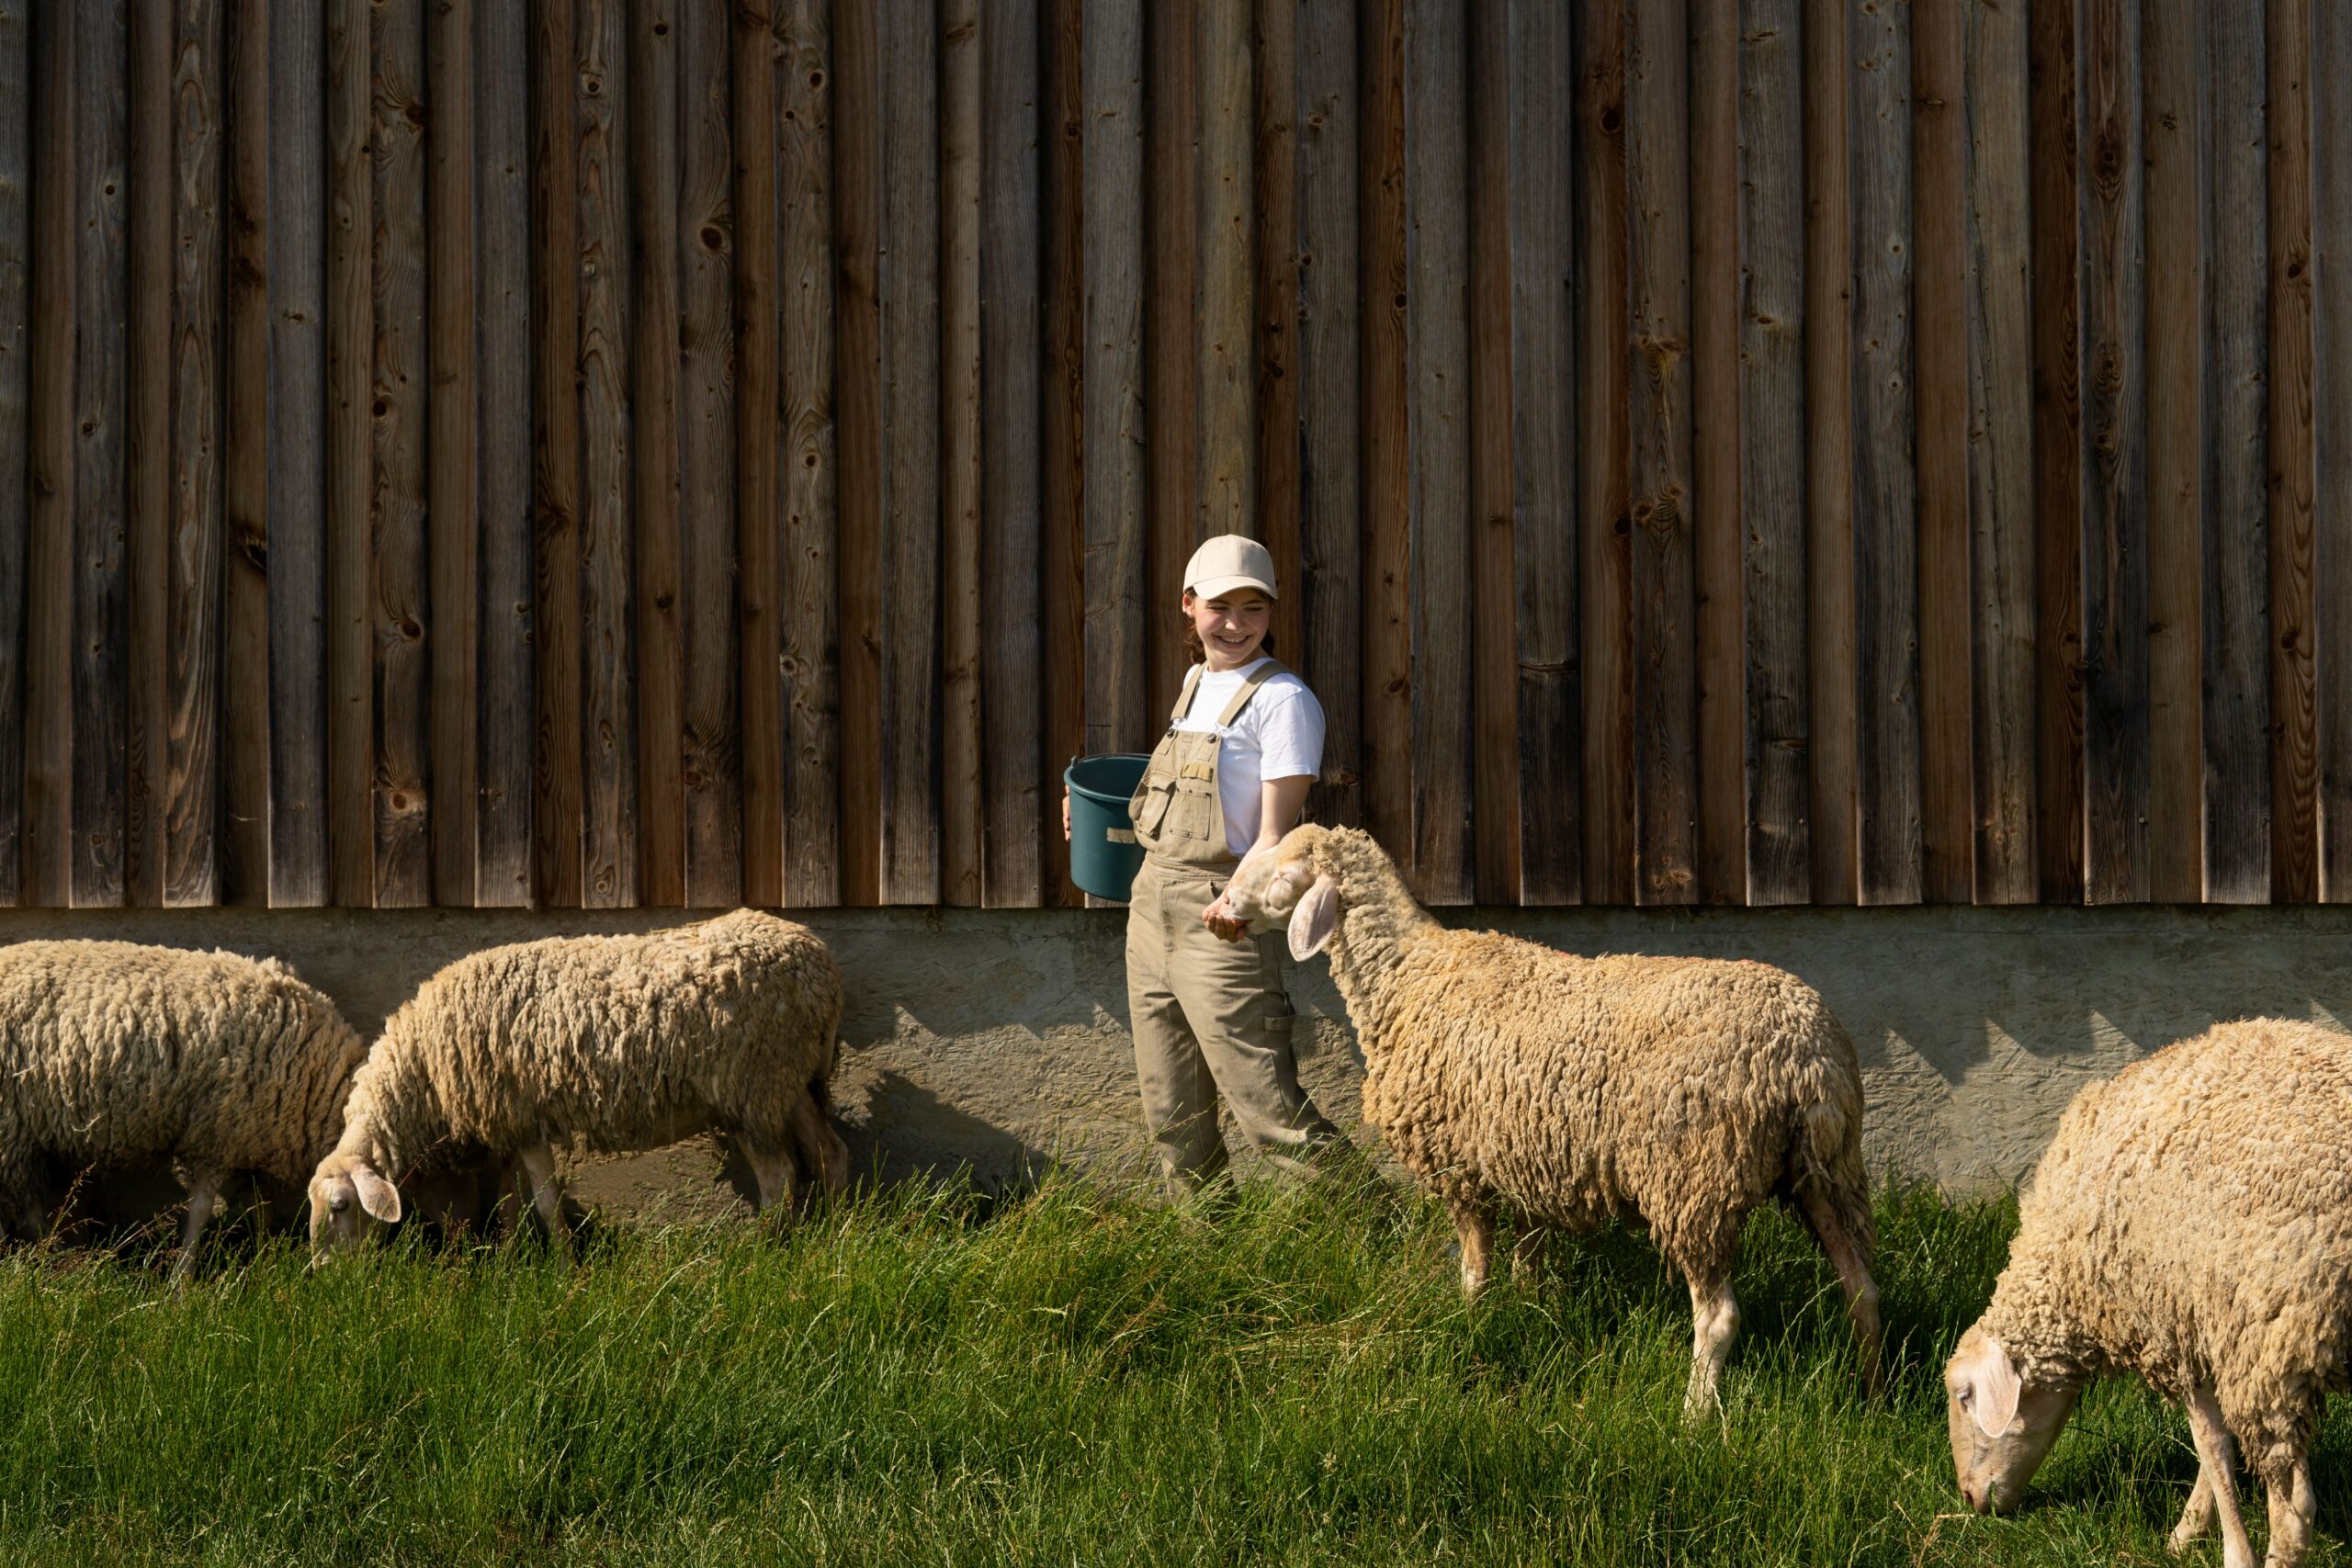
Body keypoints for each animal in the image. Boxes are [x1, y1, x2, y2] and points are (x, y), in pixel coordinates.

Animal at [0, 940, 367, 1279]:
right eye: (342, 1205)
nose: (342, 1275)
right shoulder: (213, 1135)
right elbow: (202, 1210)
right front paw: (182, 1284)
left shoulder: (253, 1140)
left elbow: (262, 1206)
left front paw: (266, 1263)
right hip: (11, 1127)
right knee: (25, 1209)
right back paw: (51, 1264)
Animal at [308, 911, 851, 1259]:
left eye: (339, 1207)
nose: (326, 1276)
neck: (423, 1065)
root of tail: (821, 962)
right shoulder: (510, 1122)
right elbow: (508, 1200)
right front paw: (510, 1262)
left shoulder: (525, 1121)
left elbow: (546, 1203)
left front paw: (566, 1270)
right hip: (792, 1078)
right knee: (829, 1152)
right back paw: (836, 1237)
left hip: (752, 1084)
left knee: (779, 1177)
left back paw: (766, 1254)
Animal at [1223, 827, 1882, 1419]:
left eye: (1282, 874)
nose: (1220, 908)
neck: (1409, 971)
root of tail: (1805, 1054)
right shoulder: (1527, 1165)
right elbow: (1527, 1265)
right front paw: (1530, 1317)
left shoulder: (1459, 1164)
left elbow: (1474, 1267)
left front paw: (1470, 1320)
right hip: (1827, 1169)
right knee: (1862, 1287)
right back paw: (1873, 1390)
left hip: (1695, 1178)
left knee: (1720, 1315)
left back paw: (1694, 1414)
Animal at [1947, 1020, 2352, 1568]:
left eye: (1963, 1395)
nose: (1970, 1499)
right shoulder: (2207, 1331)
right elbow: (2215, 1450)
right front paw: (2190, 1529)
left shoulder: (2184, 1327)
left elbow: (2213, 1447)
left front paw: (2223, 1547)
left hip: (2275, 1347)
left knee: (2293, 1512)